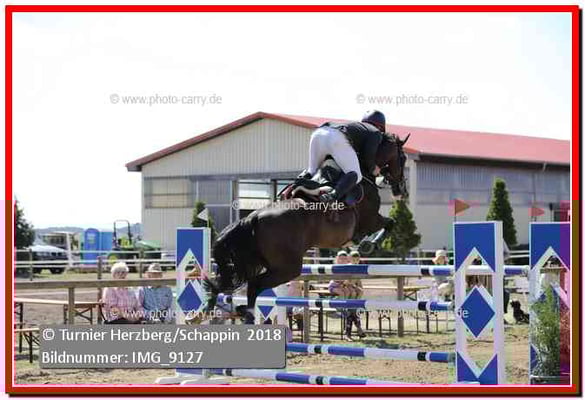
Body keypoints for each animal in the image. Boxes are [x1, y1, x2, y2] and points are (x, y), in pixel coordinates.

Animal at [203, 133, 410, 322]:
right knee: (255, 284)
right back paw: (248, 314)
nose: (402, 190)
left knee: (250, 284)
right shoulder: (370, 219)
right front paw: (370, 245)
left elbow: (388, 224)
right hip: (288, 267)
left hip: (264, 263)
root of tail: (253, 217)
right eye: (403, 158)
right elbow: (389, 223)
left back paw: (238, 311)